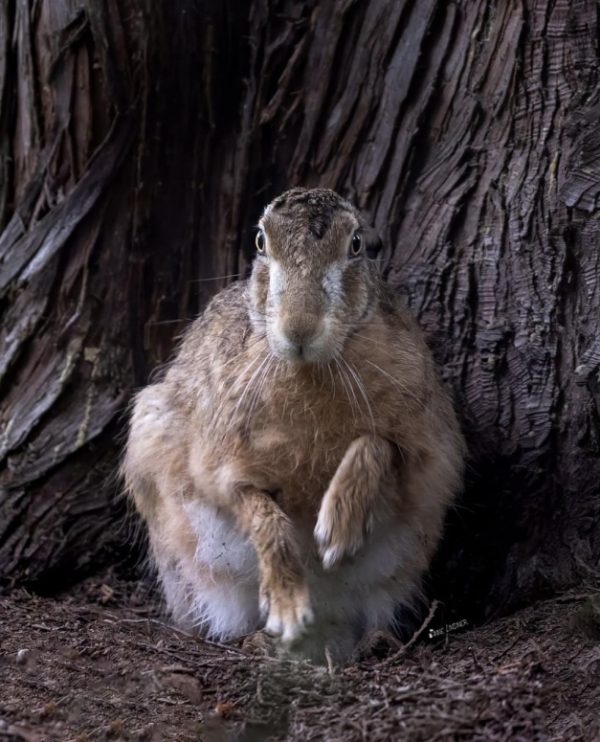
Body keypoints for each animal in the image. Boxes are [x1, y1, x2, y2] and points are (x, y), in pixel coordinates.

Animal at [122, 187, 465, 662]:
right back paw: (266, 641)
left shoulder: (424, 445)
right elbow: (265, 518)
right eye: (261, 242)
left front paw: (337, 531)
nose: (299, 328)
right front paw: (287, 607)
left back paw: (372, 644)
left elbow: (376, 444)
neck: (310, 368)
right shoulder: (224, 469)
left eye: (356, 245)